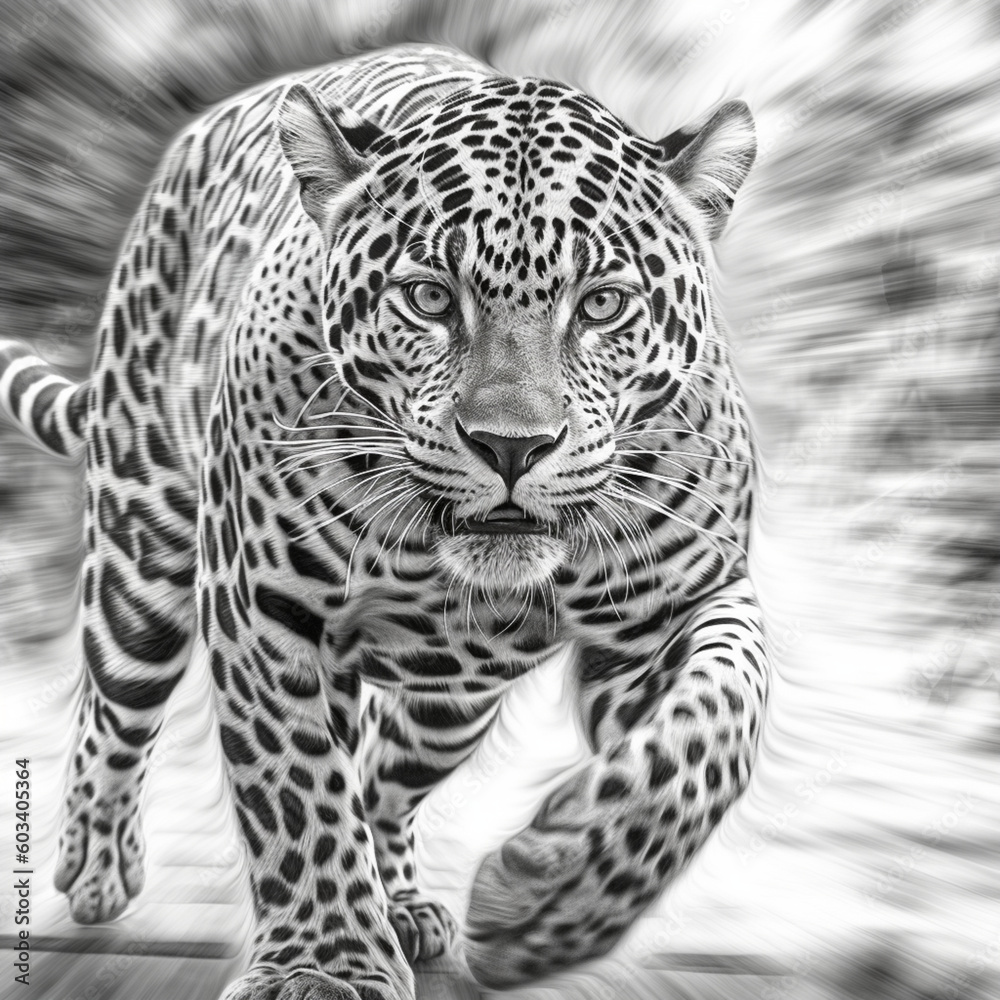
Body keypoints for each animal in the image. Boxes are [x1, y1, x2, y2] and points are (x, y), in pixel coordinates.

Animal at [0, 43, 768, 1000]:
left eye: (601, 305)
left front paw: (553, 902)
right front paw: (323, 963)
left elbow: (717, 725)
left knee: (381, 780)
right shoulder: (262, 610)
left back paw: (402, 902)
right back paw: (96, 864)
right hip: (141, 559)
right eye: (429, 298)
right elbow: (293, 790)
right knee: (116, 704)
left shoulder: (679, 608)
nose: (510, 447)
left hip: (451, 704)